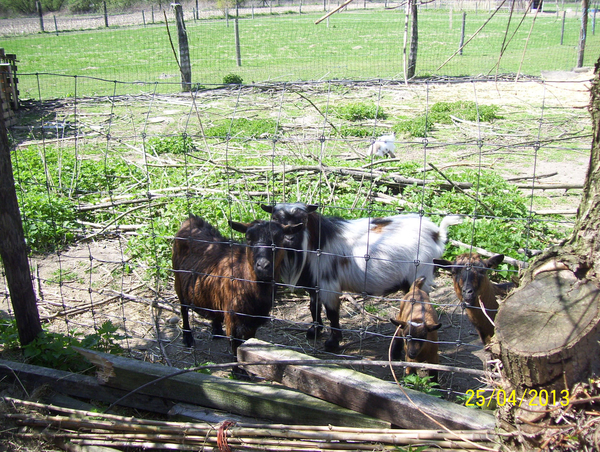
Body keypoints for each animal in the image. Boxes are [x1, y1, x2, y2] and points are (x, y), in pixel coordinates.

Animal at [173, 215, 304, 356]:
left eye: (279, 239)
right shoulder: (233, 320)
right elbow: (236, 347)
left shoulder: (253, 320)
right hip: (178, 280)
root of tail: (190, 220)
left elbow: (248, 341)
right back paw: (187, 338)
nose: (263, 266)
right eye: (248, 238)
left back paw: (216, 330)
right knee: (183, 308)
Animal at [260, 203, 462, 352]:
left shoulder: (328, 284)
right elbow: (313, 308)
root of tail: (436, 234)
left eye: (302, 220)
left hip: (420, 274)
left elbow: (332, 313)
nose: (288, 239)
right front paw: (314, 331)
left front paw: (333, 343)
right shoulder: (314, 285)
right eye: (275, 219)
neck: (316, 242)